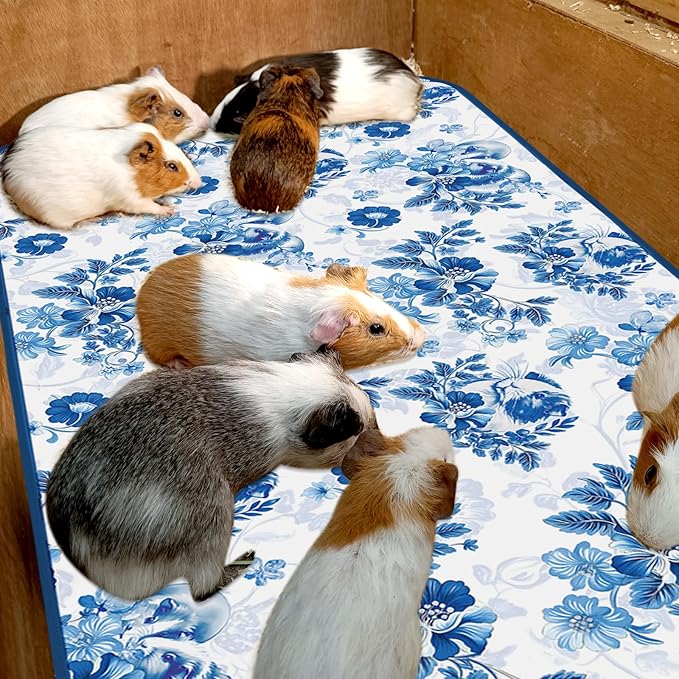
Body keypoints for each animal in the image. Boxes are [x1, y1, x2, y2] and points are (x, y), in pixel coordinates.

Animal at [1, 123, 201, 229]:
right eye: (172, 166)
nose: (198, 182)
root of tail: (7, 171)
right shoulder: (131, 199)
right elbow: (150, 206)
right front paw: (169, 210)